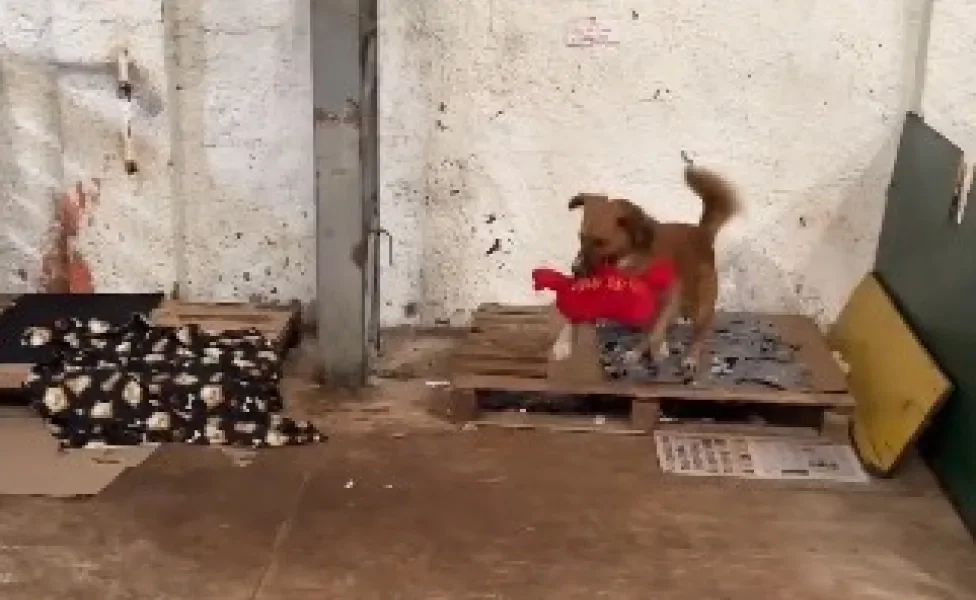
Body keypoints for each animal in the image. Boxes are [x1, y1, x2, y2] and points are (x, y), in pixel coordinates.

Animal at [552, 163, 736, 380]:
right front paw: (562, 345)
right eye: (581, 237)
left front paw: (658, 352)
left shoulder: (669, 296)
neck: (628, 262)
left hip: (700, 307)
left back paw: (688, 358)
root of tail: (702, 233)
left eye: (600, 242)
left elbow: (655, 333)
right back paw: (639, 352)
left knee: (696, 334)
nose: (576, 270)